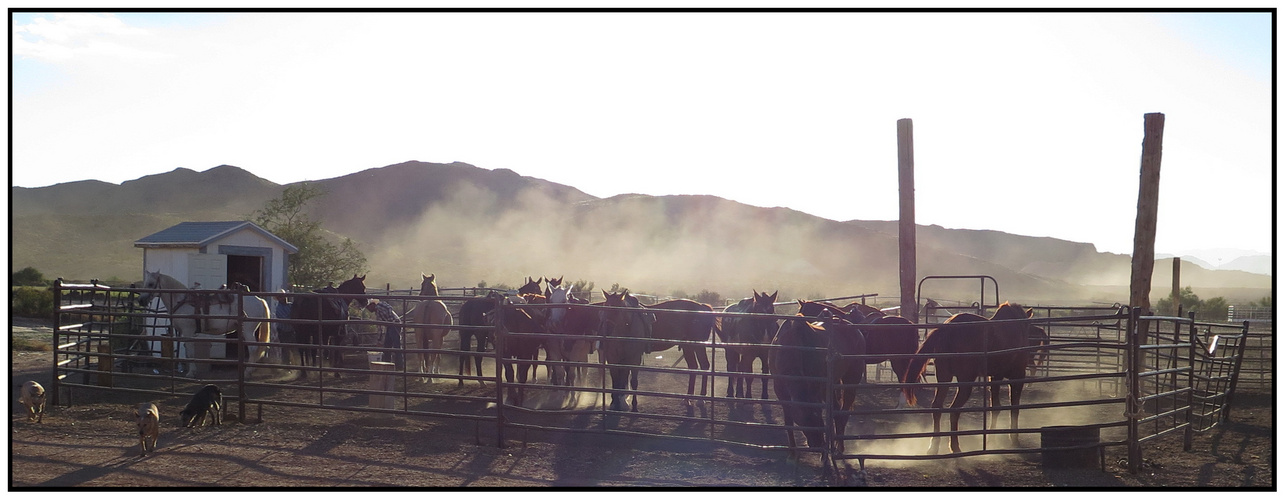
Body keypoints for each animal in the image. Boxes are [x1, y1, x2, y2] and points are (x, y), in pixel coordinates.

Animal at [138, 268, 273, 375]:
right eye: (144, 283)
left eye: (151, 284)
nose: (140, 301)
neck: (181, 301)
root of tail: (259, 300)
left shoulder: (188, 332)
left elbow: (190, 353)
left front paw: (191, 373)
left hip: (249, 331)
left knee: (253, 349)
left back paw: (248, 371)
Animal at [899, 302, 1038, 455]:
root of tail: (947, 329)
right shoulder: (1017, 376)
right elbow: (1014, 408)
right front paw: (1014, 438)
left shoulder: (996, 376)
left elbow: (995, 407)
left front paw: (992, 439)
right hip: (965, 381)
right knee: (954, 410)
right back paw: (955, 446)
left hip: (944, 377)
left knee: (937, 407)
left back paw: (933, 447)